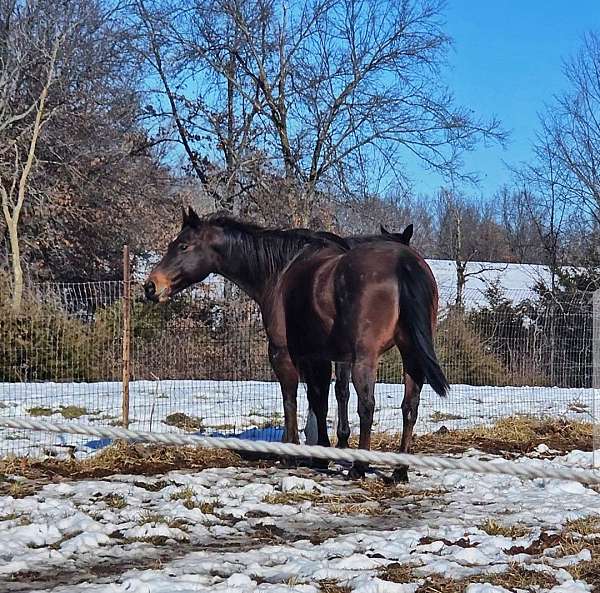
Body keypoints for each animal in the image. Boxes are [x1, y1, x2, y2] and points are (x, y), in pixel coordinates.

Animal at [145, 208, 446, 480]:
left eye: (183, 246)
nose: (151, 287)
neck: (281, 271)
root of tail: (403, 263)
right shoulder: (319, 357)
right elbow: (320, 400)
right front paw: (322, 454)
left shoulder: (284, 354)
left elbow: (291, 399)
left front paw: (292, 453)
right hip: (410, 355)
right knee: (409, 406)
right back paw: (400, 470)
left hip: (366, 357)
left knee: (367, 406)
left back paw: (359, 467)